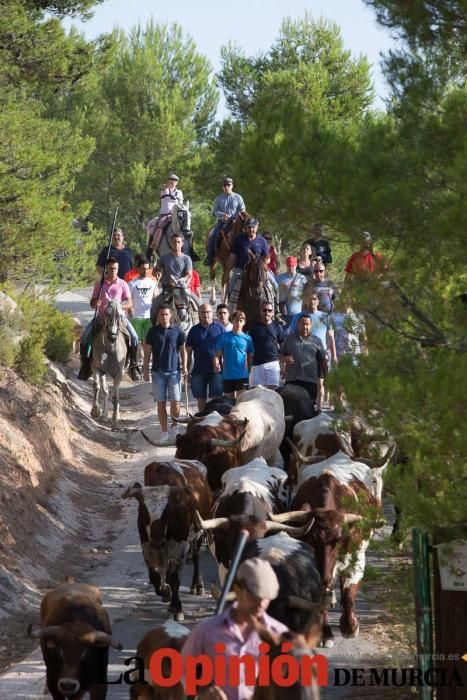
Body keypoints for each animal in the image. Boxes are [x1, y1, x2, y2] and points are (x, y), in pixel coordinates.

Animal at [123, 462, 213, 620]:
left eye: (168, 511)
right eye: (144, 511)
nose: (157, 541)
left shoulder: (181, 545)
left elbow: (175, 578)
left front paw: (176, 607)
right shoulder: (146, 545)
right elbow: (154, 576)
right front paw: (165, 591)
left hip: (198, 533)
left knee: (196, 556)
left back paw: (197, 585)